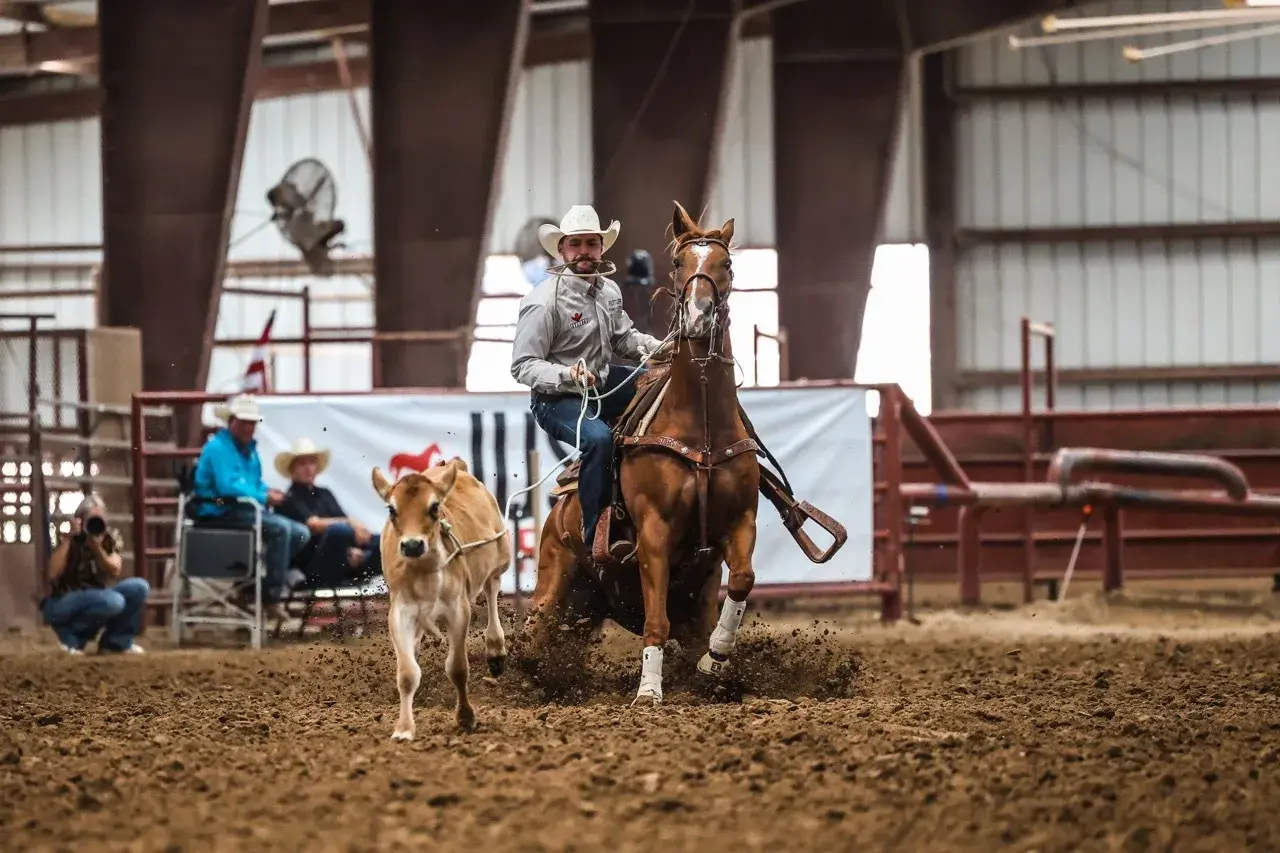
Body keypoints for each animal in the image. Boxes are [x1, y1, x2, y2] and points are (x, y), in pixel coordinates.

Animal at [371, 457, 511, 738]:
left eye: (434, 506)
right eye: (392, 509)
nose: (412, 545)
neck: (425, 571)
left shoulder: (458, 610)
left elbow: (457, 668)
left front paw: (466, 717)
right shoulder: (401, 612)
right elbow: (407, 674)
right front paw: (404, 729)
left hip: (500, 558)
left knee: (492, 591)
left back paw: (495, 649)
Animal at [521, 201, 766, 705]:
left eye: (726, 264)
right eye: (677, 263)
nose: (697, 316)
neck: (701, 431)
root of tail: (556, 513)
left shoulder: (741, 521)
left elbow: (743, 580)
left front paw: (715, 659)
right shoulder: (655, 530)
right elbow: (657, 621)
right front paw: (649, 692)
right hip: (554, 586)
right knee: (532, 640)